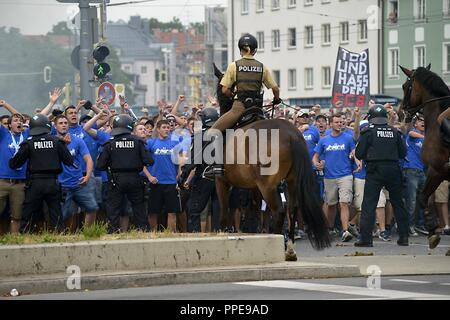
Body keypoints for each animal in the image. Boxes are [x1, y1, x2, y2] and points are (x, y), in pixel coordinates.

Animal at [211, 63, 330, 260]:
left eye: (219, 89)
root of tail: (291, 135)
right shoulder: (253, 186)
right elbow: (254, 209)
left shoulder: (221, 181)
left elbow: (224, 212)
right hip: (290, 182)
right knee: (292, 210)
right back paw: (289, 248)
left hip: (268, 186)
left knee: (279, 211)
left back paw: (276, 240)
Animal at [400, 64, 450, 252]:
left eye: (405, 87)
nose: (400, 112)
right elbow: (424, 199)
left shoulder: (437, 170)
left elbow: (422, 198)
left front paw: (433, 232)